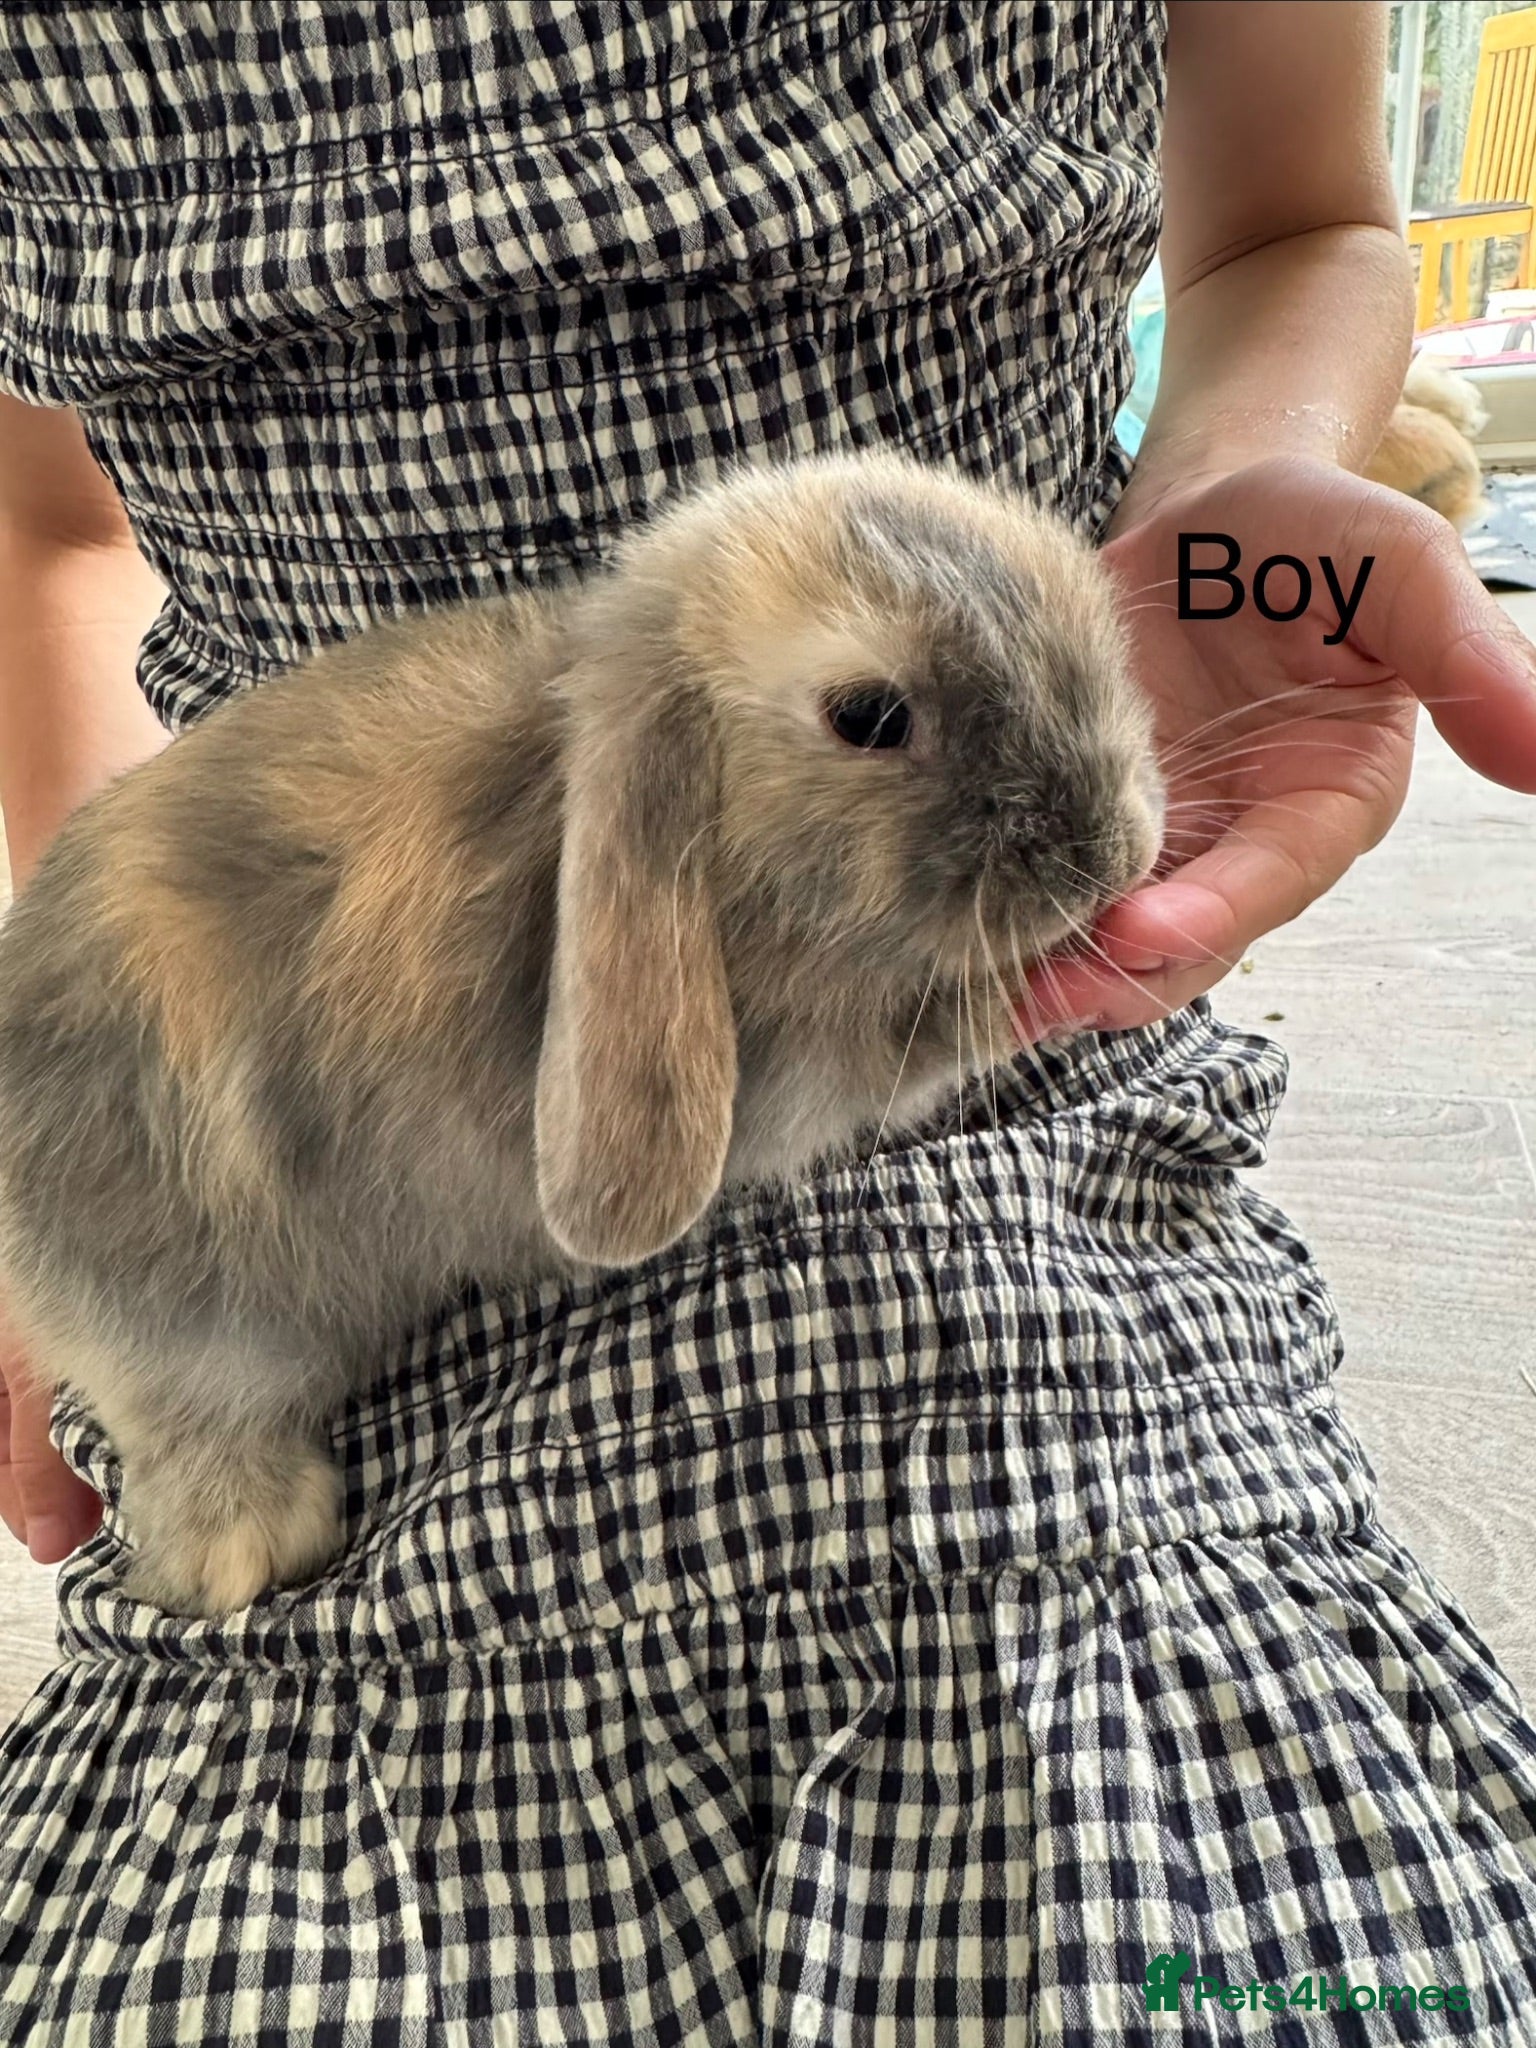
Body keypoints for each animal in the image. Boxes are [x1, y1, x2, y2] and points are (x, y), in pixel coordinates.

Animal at [0, 449, 1164, 1616]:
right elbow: (895, 1049)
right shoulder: (782, 1077)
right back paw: (247, 1536)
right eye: (871, 716)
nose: (1112, 850)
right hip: (181, 1295)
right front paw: (1014, 989)